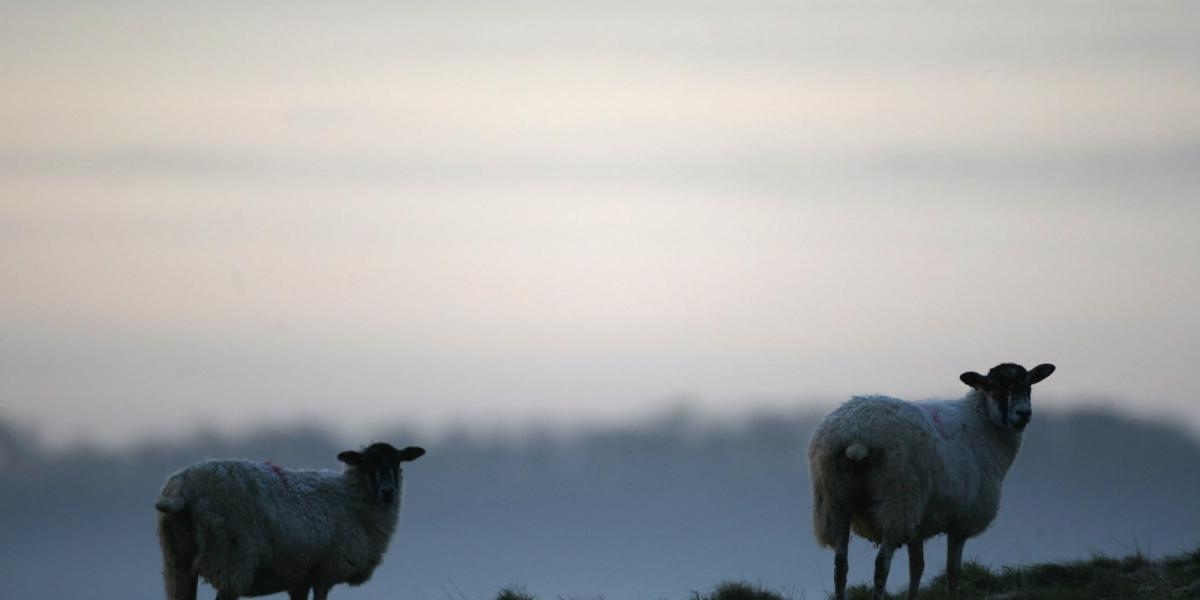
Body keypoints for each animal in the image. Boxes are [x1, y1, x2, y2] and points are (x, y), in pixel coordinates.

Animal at [153, 441, 427, 600]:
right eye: (367, 463)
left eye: (398, 461)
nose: (388, 490)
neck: (353, 497)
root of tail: (183, 489)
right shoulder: (325, 572)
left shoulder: (300, 579)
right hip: (232, 562)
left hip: (176, 562)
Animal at [811, 362, 1056, 597]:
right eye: (994, 387)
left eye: (1029, 385)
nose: (1023, 413)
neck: (981, 424)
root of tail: (857, 432)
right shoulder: (960, 520)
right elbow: (952, 570)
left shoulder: (920, 525)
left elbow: (917, 567)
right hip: (897, 502)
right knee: (881, 564)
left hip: (836, 502)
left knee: (840, 566)